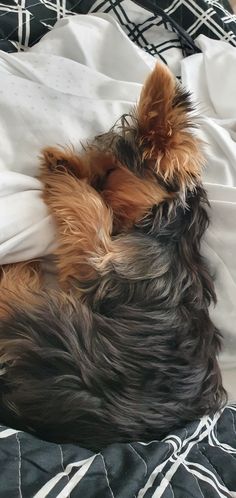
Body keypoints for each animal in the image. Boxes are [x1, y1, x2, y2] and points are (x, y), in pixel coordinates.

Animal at [0, 63, 226, 452]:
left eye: (108, 174)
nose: (83, 173)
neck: (167, 229)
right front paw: (65, 164)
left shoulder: (105, 262)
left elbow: (89, 212)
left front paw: (64, 177)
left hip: (59, 337)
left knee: (12, 302)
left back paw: (18, 267)